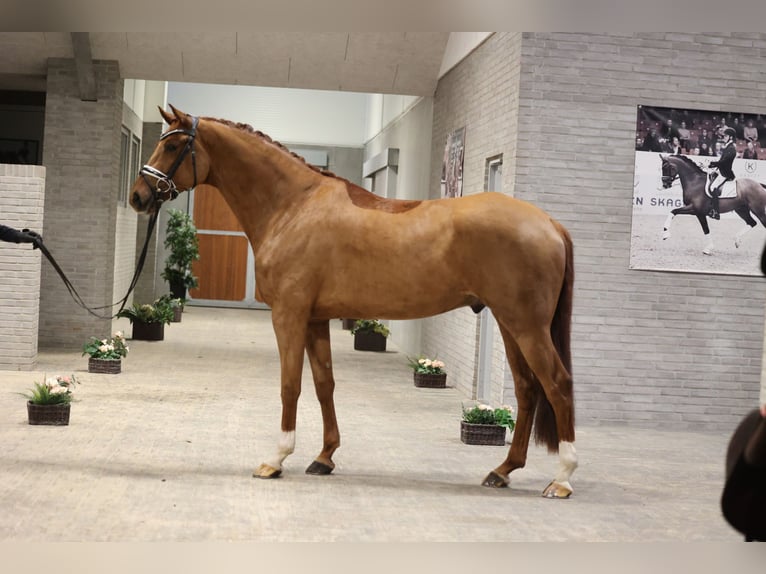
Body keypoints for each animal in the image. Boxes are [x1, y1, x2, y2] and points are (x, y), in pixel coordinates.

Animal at [129, 107, 580, 500]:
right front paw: (324, 457)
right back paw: (502, 470)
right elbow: (324, 384)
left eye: (173, 146)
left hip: (526, 325)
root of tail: (550, 223)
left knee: (557, 384)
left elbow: (290, 384)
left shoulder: (289, 315)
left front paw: (276, 458)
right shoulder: (316, 319)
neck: (293, 206)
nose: (137, 196)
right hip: (508, 323)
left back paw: (561, 479)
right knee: (526, 389)